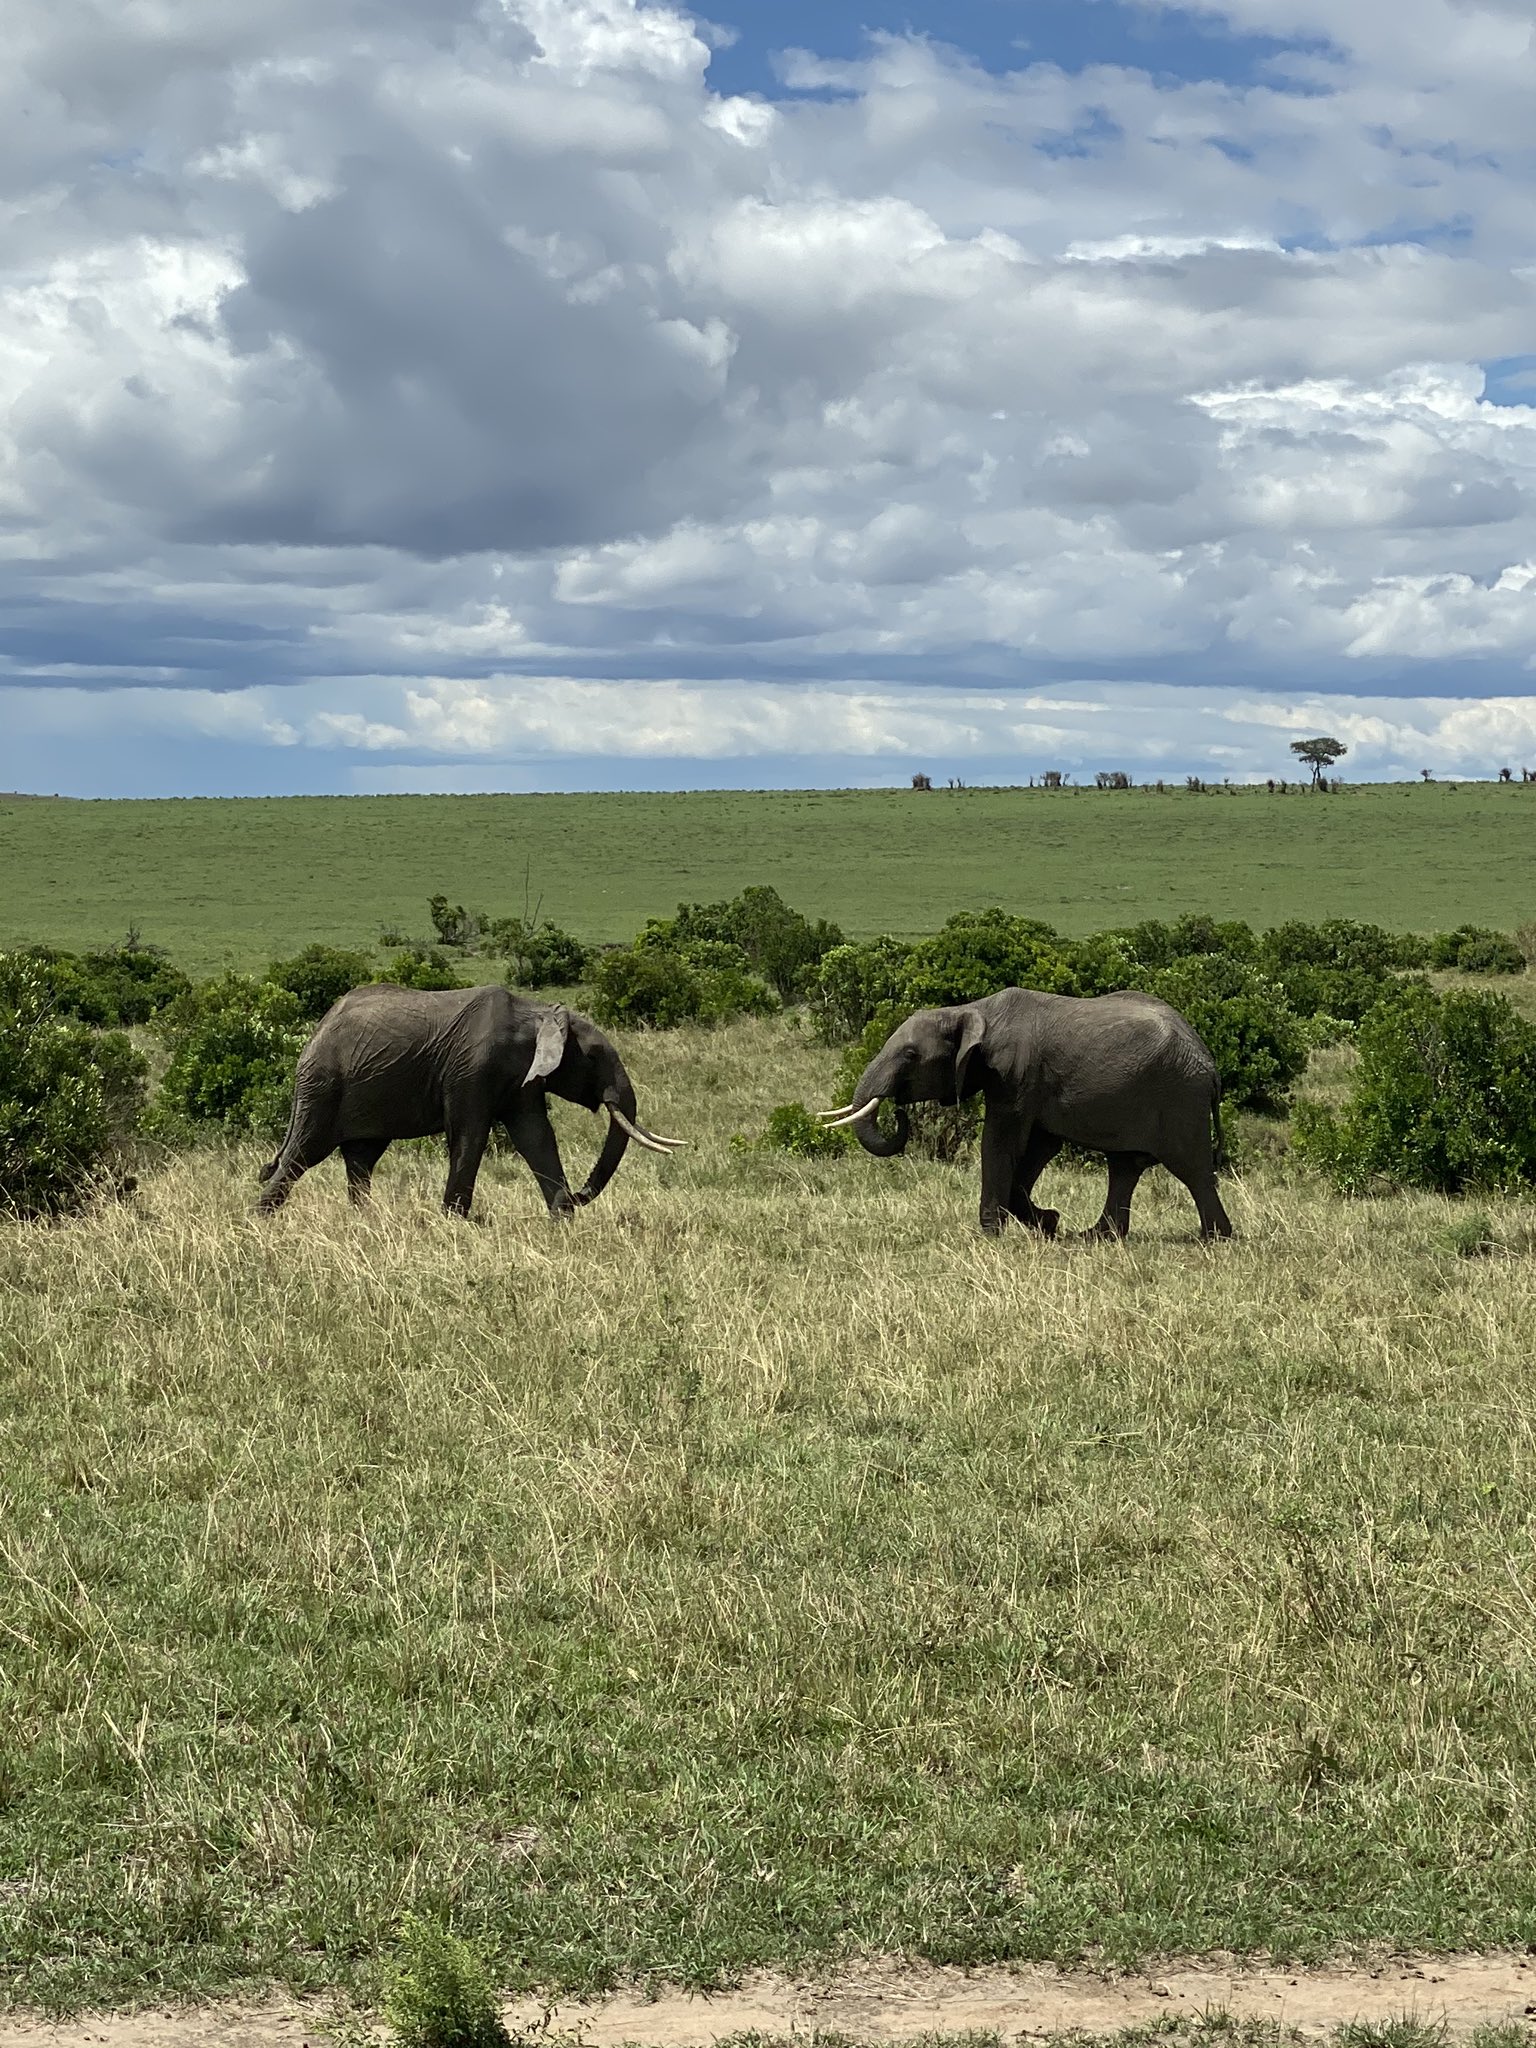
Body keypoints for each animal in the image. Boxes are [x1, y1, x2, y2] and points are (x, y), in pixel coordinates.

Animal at [256, 983, 683, 1217]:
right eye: (593, 1057)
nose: (578, 1196)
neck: (537, 1013)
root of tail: (314, 1033)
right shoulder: (471, 1069)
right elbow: (469, 1135)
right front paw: (453, 1221)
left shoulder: (522, 1078)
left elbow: (536, 1137)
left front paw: (562, 1219)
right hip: (323, 1085)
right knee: (301, 1155)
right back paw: (260, 1222)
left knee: (361, 1158)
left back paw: (364, 1222)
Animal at [821, 987, 1231, 1241]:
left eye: (909, 1055)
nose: (899, 1112)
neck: (971, 1010)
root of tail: (1210, 1064)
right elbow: (1038, 1148)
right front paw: (1049, 1223)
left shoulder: (1015, 1074)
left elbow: (1002, 1142)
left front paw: (991, 1234)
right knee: (1125, 1167)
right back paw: (1096, 1237)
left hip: (1179, 1097)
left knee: (1191, 1168)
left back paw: (1215, 1238)